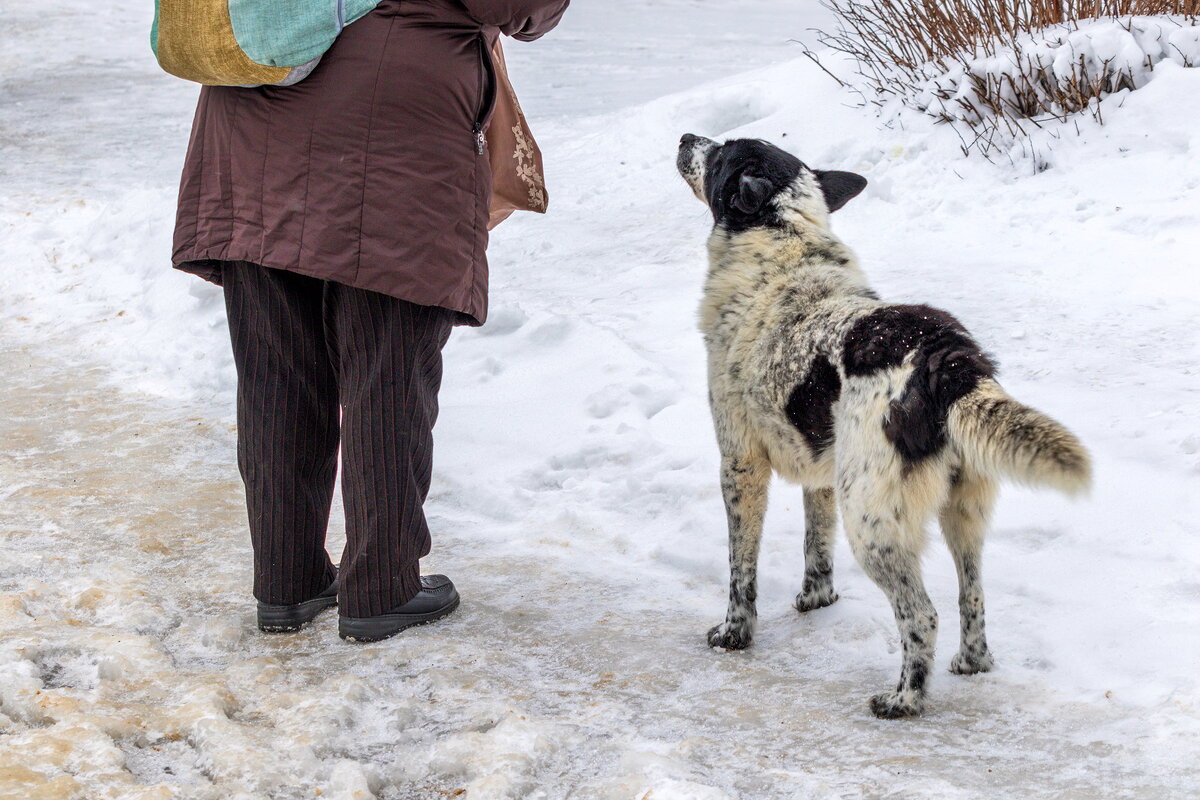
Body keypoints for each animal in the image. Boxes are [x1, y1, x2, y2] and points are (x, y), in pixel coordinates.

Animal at [676, 133, 1089, 719]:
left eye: (720, 154)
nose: (687, 138)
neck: (783, 247)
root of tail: (946, 357)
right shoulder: (822, 470)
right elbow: (816, 544)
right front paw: (816, 600)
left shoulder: (741, 465)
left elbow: (740, 568)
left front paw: (734, 634)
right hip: (960, 511)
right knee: (971, 593)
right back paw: (971, 663)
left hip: (872, 522)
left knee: (921, 614)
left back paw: (905, 697)